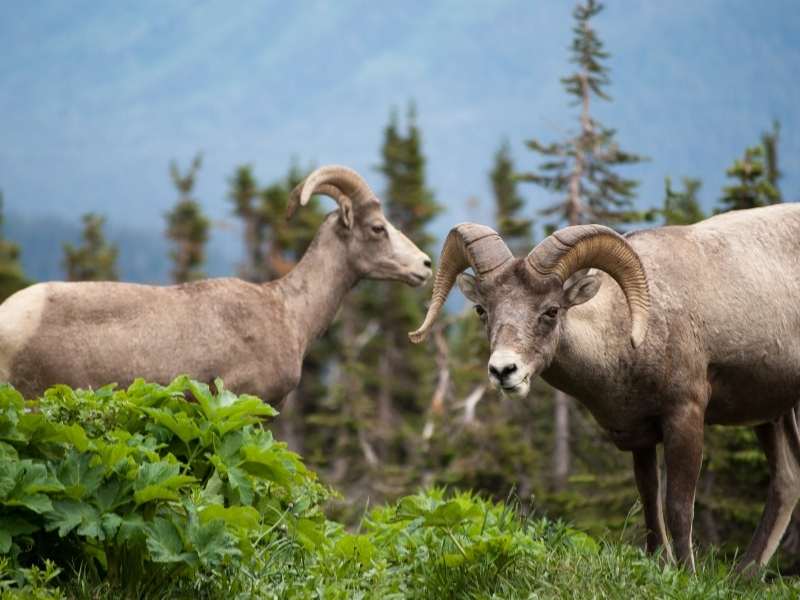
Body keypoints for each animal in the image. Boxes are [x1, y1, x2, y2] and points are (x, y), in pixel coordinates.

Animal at [412, 204, 800, 576]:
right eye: (482, 310)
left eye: (551, 311)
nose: (503, 370)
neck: (629, 333)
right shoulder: (639, 436)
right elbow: (649, 503)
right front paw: (659, 565)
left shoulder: (685, 417)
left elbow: (678, 507)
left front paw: (687, 576)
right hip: (772, 415)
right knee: (787, 481)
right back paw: (743, 576)